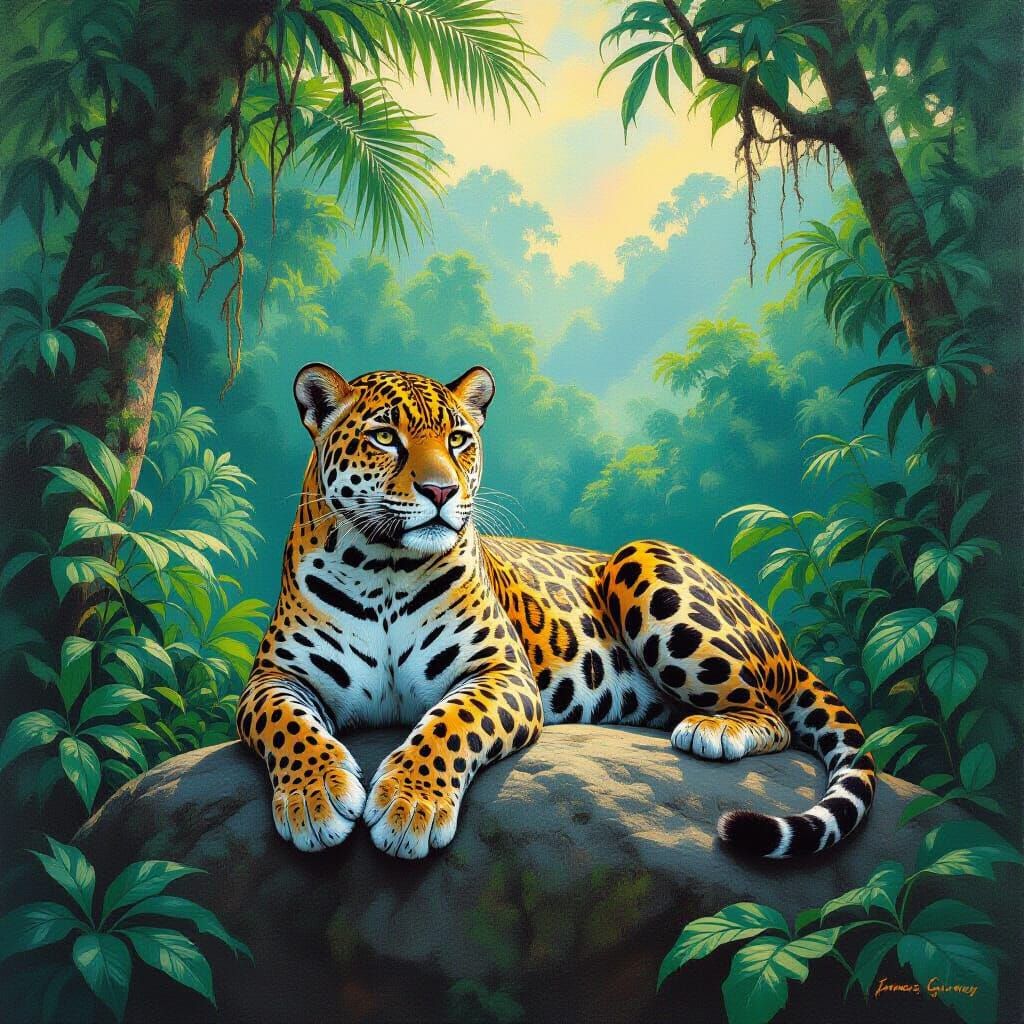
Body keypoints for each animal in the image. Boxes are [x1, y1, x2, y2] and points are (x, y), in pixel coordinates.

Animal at [236, 362, 876, 860]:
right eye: (385, 436)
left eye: (459, 439)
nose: (441, 491)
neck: (384, 569)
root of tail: (783, 641)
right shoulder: (274, 677)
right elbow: (287, 725)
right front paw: (314, 799)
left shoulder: (500, 673)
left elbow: (449, 725)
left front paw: (409, 805)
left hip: (643, 557)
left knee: (771, 714)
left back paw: (714, 728)